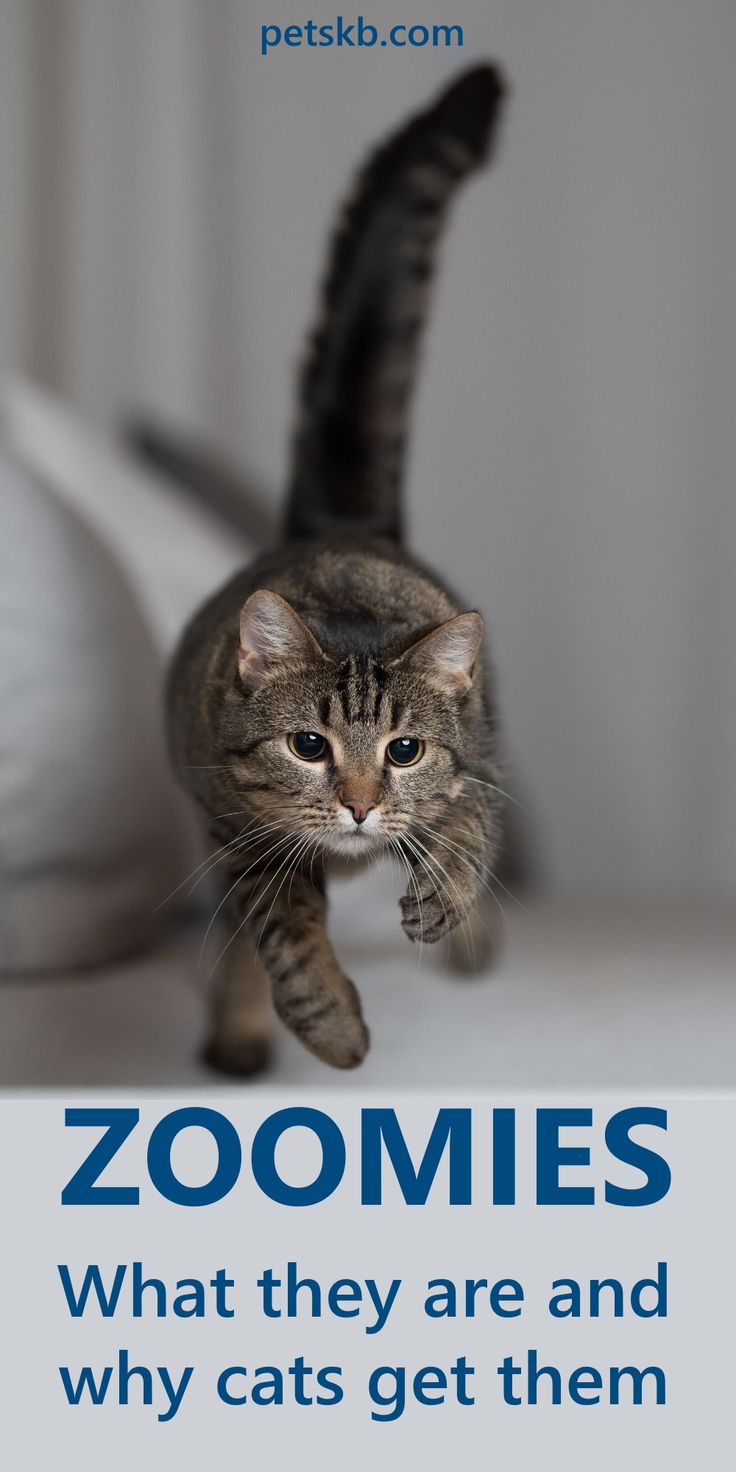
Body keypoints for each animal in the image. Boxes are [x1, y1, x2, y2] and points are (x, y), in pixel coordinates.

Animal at [169, 63, 509, 1077]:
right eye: (308, 745)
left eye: (403, 749)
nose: (359, 807)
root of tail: (344, 519)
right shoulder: (239, 833)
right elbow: (281, 932)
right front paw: (328, 1024)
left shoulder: (473, 763)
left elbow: (466, 830)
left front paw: (447, 901)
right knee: (241, 938)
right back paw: (241, 1032)